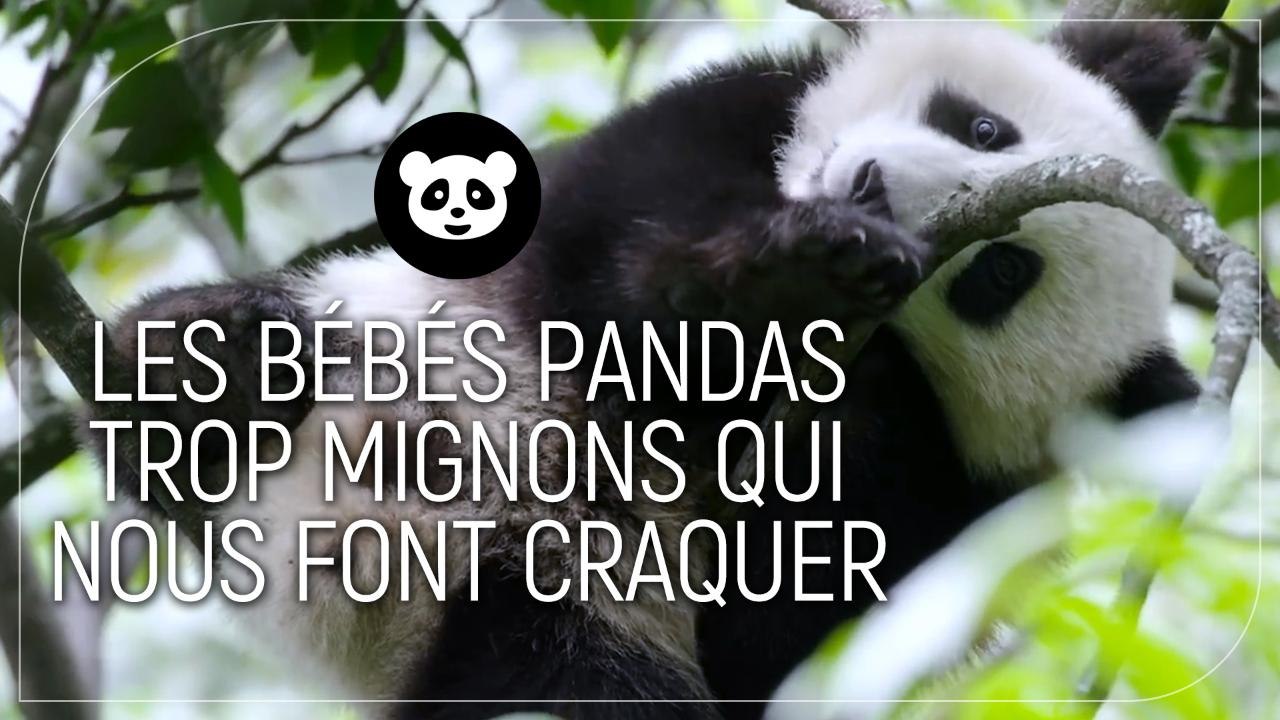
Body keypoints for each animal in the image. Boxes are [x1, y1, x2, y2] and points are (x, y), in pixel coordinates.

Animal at [94, 19, 1202, 720]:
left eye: (1001, 277)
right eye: (981, 127)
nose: (870, 185)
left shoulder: (958, 514)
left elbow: (776, 623)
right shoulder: (723, 120)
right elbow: (614, 235)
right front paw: (780, 280)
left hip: (560, 602)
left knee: (567, 689)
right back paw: (200, 366)